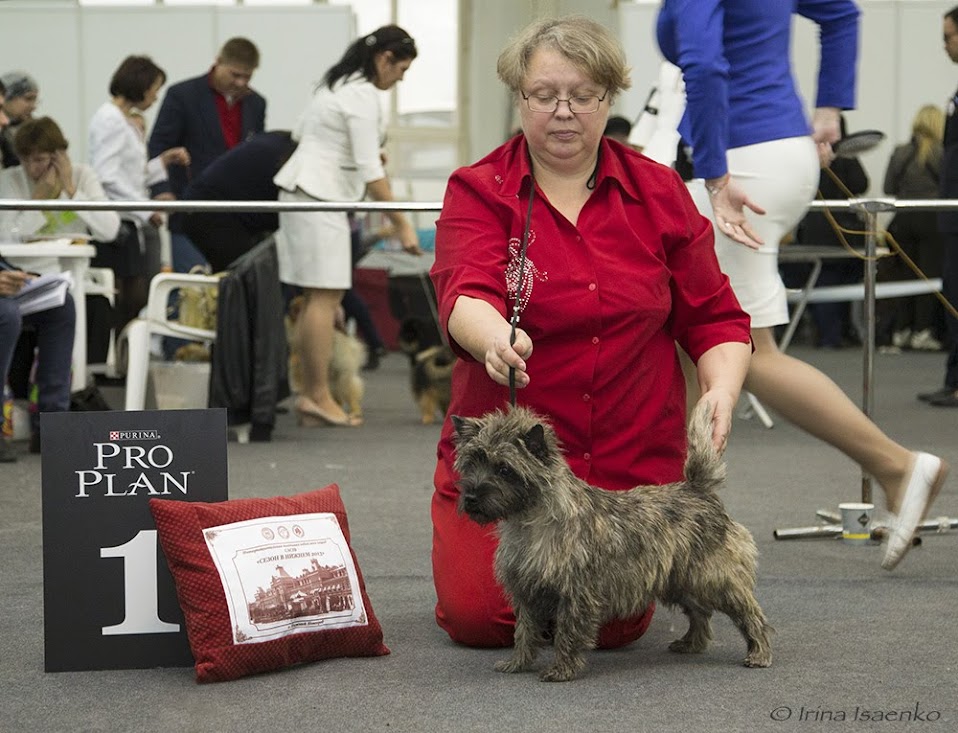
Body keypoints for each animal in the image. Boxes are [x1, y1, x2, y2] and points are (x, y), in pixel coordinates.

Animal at [454, 400, 776, 680]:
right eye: (471, 463)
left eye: (504, 468)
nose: (470, 498)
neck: (530, 522)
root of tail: (698, 490)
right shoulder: (526, 592)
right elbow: (524, 631)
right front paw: (517, 663)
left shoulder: (576, 593)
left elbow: (567, 633)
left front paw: (562, 670)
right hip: (680, 580)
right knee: (699, 613)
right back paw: (690, 644)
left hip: (715, 578)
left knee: (749, 613)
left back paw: (759, 653)